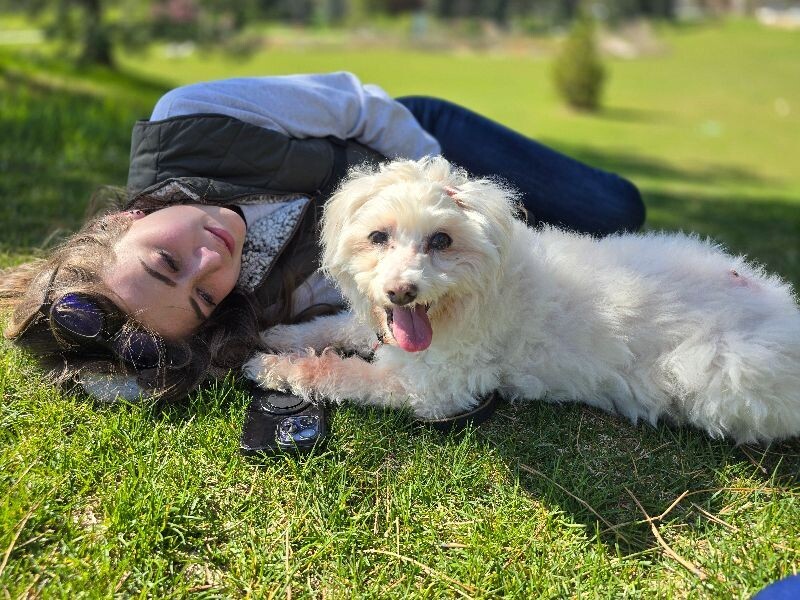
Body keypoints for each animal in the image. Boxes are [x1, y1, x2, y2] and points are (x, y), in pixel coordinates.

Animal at [244, 157, 800, 442]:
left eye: (442, 240)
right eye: (377, 237)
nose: (402, 290)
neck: (467, 300)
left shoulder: (433, 391)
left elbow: (338, 371)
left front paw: (272, 366)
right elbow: (337, 326)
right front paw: (280, 335)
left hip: (721, 375)